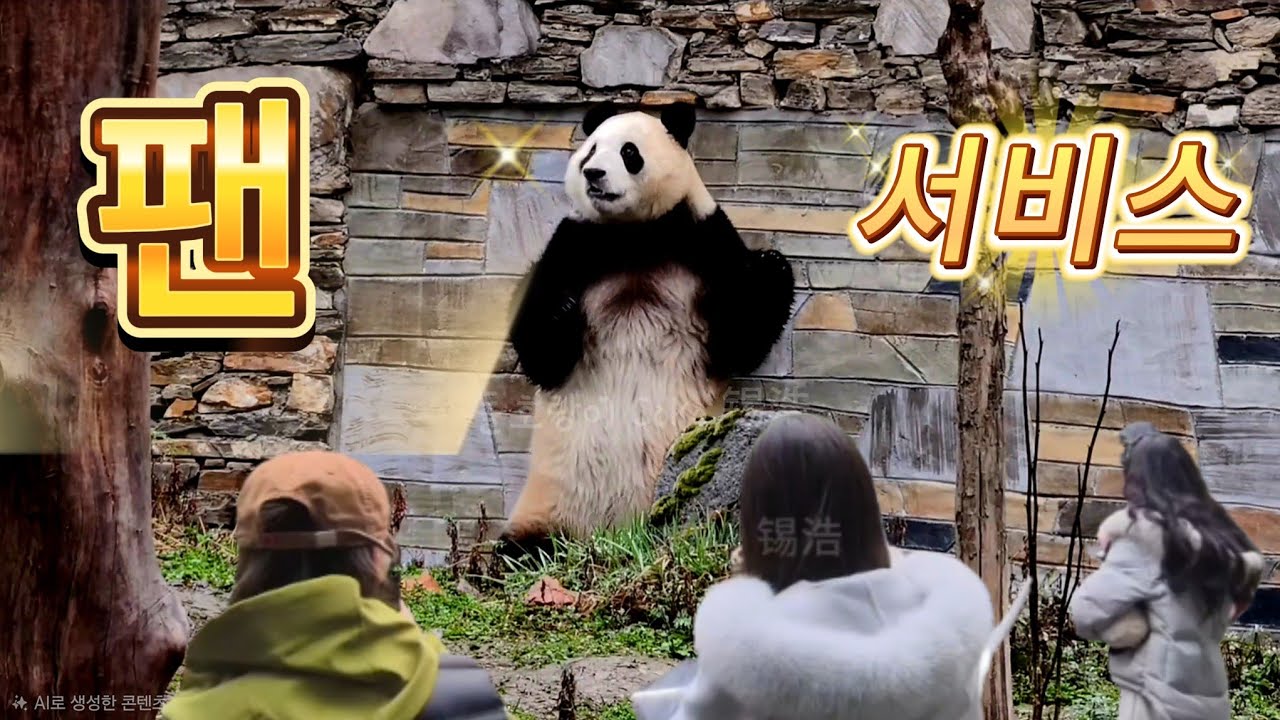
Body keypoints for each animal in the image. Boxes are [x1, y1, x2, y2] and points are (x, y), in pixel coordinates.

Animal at [499, 103, 796, 553]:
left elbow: (741, 336)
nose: (593, 174)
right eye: (590, 150)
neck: (634, 236)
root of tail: (614, 537)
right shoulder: (572, 246)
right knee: (524, 551)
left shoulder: (705, 241)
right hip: (548, 505)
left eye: (629, 152)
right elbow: (542, 352)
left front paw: (774, 264)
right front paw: (563, 311)